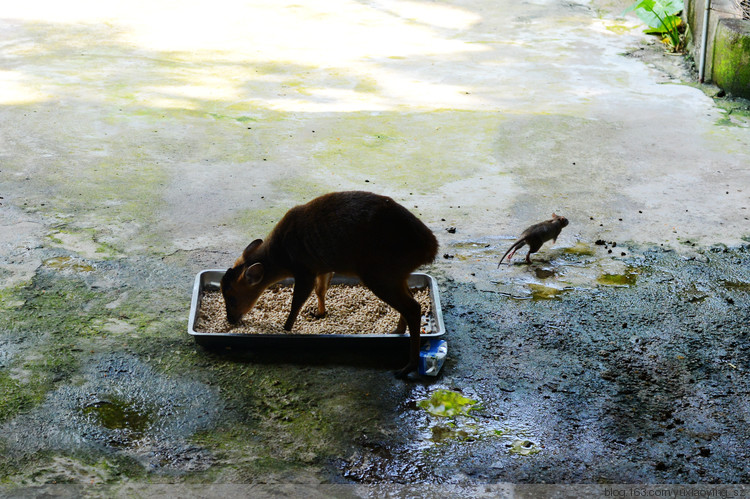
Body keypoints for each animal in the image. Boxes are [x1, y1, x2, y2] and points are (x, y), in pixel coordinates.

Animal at [220, 192, 438, 378]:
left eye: (232, 297)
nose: (230, 319)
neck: (282, 257)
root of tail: (430, 247)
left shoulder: (304, 269)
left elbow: (298, 300)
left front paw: (286, 327)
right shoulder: (322, 266)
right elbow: (321, 290)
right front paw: (319, 313)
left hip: (380, 272)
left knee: (412, 307)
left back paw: (408, 366)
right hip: (396, 274)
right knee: (410, 300)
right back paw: (396, 331)